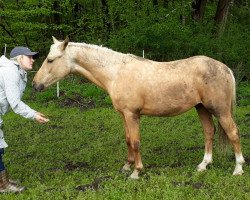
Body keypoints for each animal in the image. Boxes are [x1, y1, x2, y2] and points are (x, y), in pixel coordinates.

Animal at [32, 36, 244, 179]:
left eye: (50, 60)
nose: (35, 85)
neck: (116, 72)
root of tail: (225, 68)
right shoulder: (123, 115)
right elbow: (127, 140)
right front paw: (127, 166)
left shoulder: (132, 114)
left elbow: (135, 142)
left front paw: (136, 172)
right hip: (202, 108)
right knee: (209, 132)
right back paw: (203, 165)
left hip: (220, 110)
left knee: (233, 133)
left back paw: (238, 168)